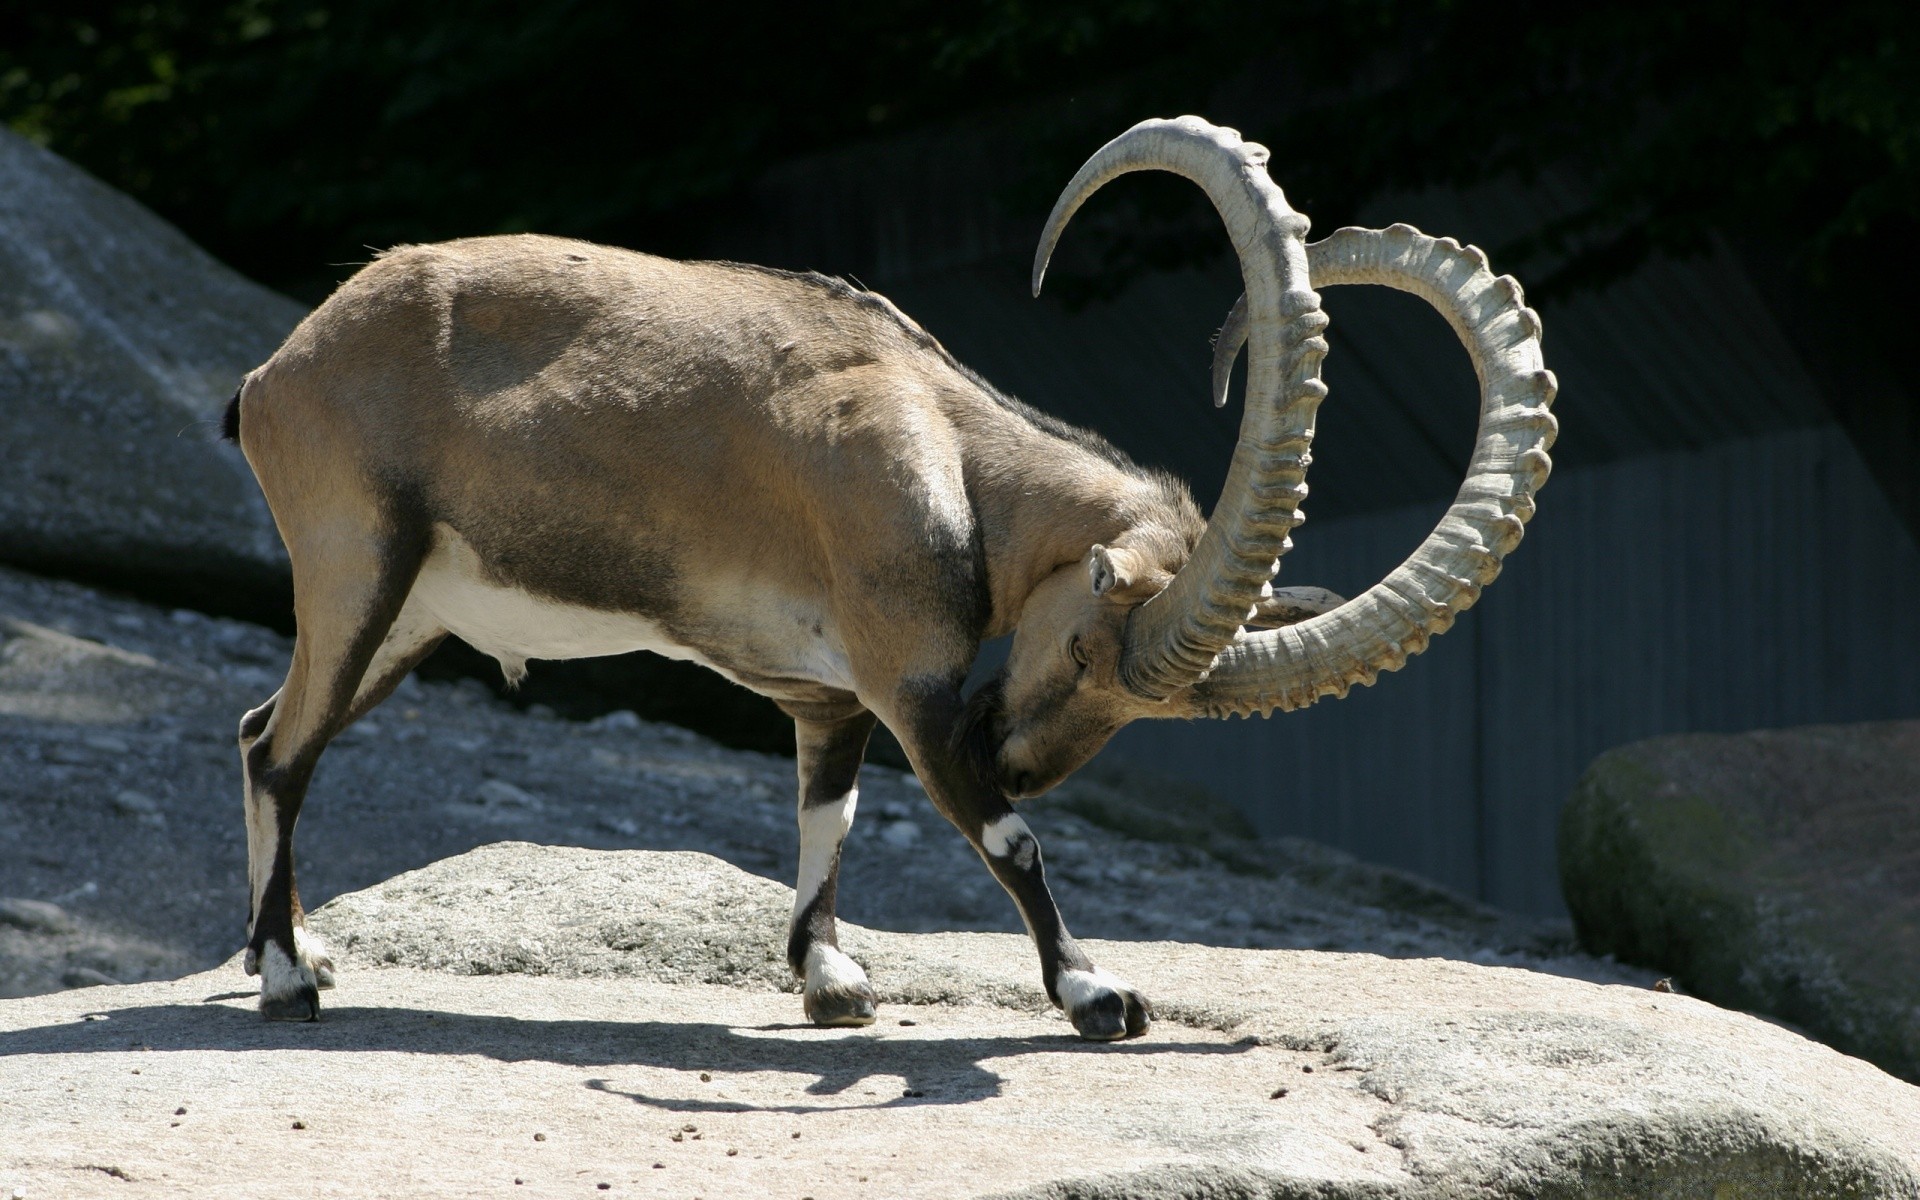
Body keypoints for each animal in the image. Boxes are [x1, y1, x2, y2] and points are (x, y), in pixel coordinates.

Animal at [220, 119, 1559, 1036]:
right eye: (1085, 642)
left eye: (1154, 709)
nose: (1017, 751)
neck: (948, 448)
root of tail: (281, 369)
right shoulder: (913, 686)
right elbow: (1005, 841)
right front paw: (1097, 994)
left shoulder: (834, 694)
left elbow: (831, 814)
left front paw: (831, 977)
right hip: (357, 565)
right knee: (285, 748)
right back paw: (287, 980)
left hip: (412, 616)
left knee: (255, 730)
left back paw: (290, 951)